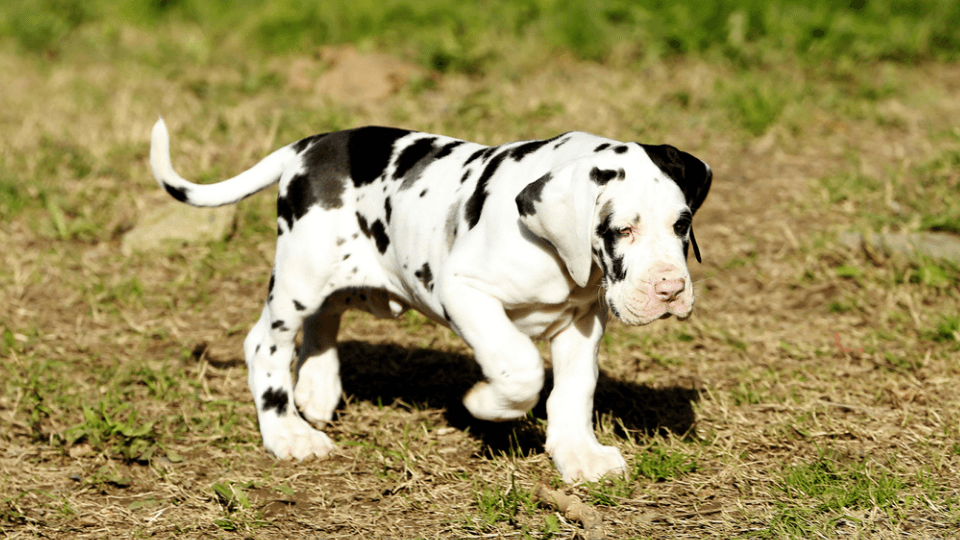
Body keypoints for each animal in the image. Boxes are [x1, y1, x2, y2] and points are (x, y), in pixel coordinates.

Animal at [148, 120, 704, 484]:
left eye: (682, 225)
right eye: (621, 229)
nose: (670, 290)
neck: (553, 248)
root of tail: (313, 144)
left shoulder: (582, 321)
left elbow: (574, 392)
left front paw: (577, 454)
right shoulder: (464, 291)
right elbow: (521, 368)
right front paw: (485, 404)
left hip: (344, 276)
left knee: (326, 317)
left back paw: (317, 386)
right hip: (299, 279)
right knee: (264, 345)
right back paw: (287, 432)